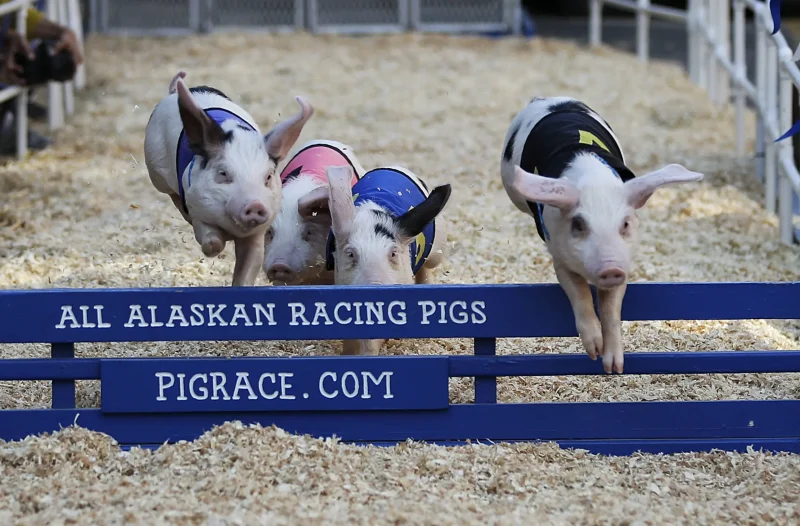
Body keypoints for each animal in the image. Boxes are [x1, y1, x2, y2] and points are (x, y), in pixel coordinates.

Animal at [144, 70, 314, 286]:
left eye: (268, 176)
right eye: (223, 174)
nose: (255, 205)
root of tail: (175, 92)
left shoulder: (258, 233)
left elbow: (251, 263)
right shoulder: (197, 207)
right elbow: (207, 235)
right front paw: (216, 248)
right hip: (155, 169)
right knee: (170, 193)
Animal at [325, 164, 452, 356]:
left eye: (393, 253)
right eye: (351, 254)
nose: (375, 288)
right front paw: (348, 354)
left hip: (437, 251)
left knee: (427, 267)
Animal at [500, 96, 704, 374]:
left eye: (625, 224)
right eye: (578, 224)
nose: (611, 269)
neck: (594, 181)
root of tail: (549, 99)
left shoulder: (625, 259)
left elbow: (611, 307)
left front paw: (613, 368)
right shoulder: (559, 252)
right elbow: (579, 292)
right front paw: (594, 351)